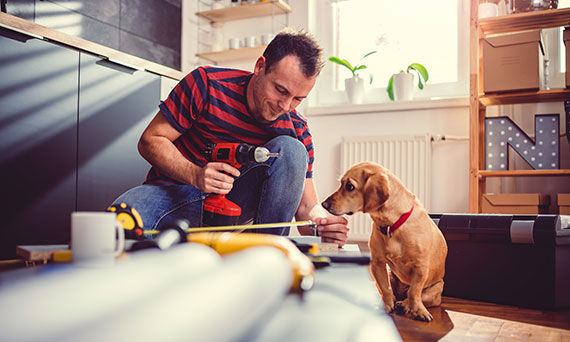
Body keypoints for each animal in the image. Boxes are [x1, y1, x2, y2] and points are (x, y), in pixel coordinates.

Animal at [322, 161, 446, 320]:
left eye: (349, 186)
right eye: (341, 184)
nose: (324, 204)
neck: (391, 225)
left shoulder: (420, 268)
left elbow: (414, 292)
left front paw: (419, 310)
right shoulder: (378, 263)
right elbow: (386, 289)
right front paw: (386, 306)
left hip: (435, 290)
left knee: (411, 296)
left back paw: (405, 304)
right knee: (389, 293)